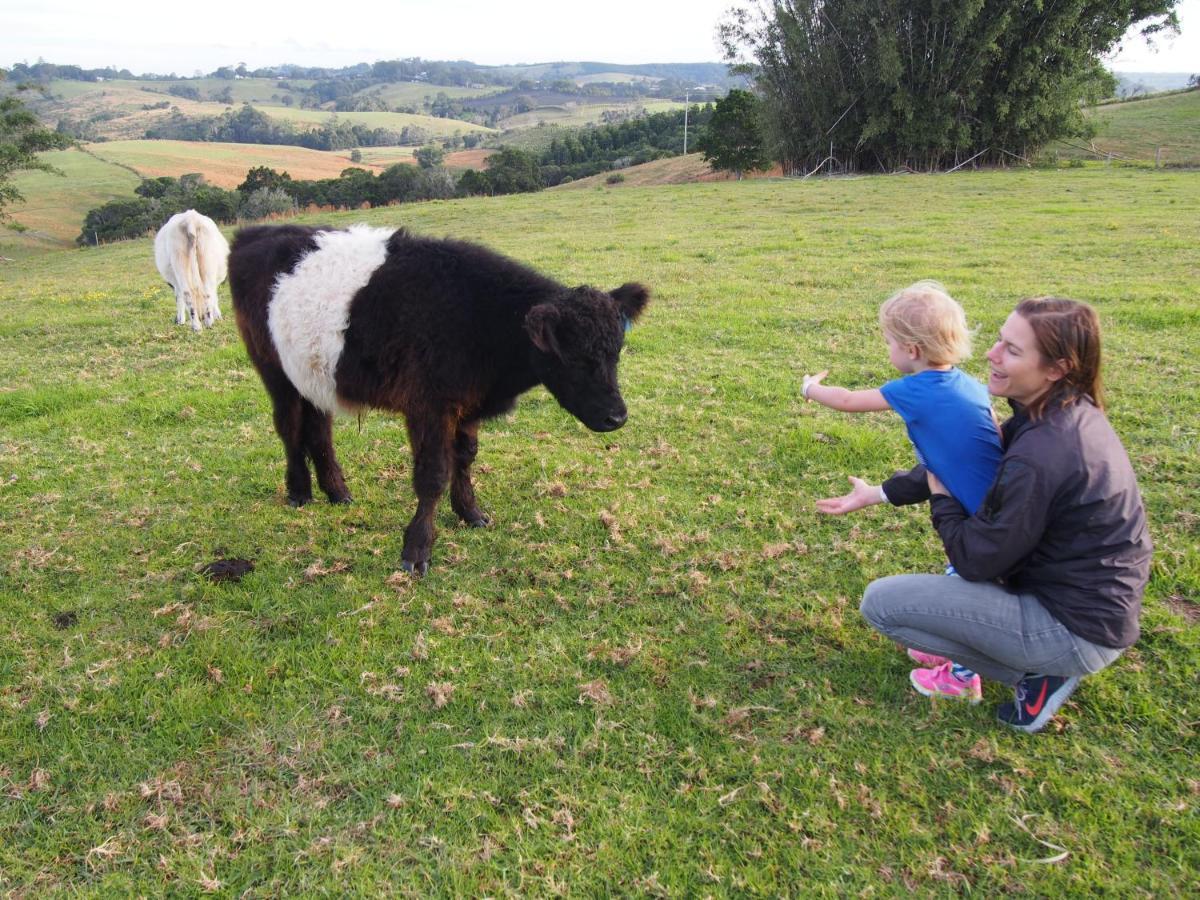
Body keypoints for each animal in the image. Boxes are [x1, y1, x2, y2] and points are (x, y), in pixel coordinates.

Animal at [228, 225, 652, 578]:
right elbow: (433, 474)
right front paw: (417, 550)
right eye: (575, 358)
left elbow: (464, 458)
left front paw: (470, 513)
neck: (478, 318)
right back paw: (299, 491)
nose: (617, 417)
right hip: (274, 368)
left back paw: (337, 491)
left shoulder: (467, 404)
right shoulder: (428, 406)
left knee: (319, 430)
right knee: (289, 427)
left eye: (616, 351)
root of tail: (256, 232)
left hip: (314, 374)